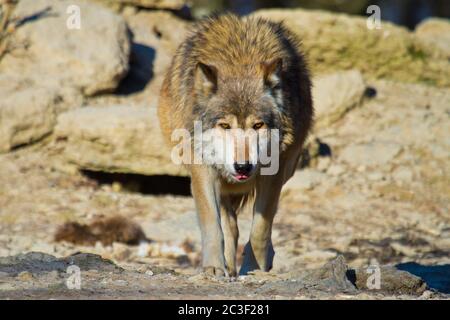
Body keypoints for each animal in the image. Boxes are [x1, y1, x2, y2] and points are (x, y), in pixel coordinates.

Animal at [158, 13, 312, 276]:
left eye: (258, 125)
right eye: (225, 126)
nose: (242, 167)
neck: (239, 61)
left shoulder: (273, 174)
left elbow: (261, 229)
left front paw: (254, 267)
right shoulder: (202, 170)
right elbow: (213, 225)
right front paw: (213, 266)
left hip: (289, 166)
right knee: (230, 226)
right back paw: (228, 265)